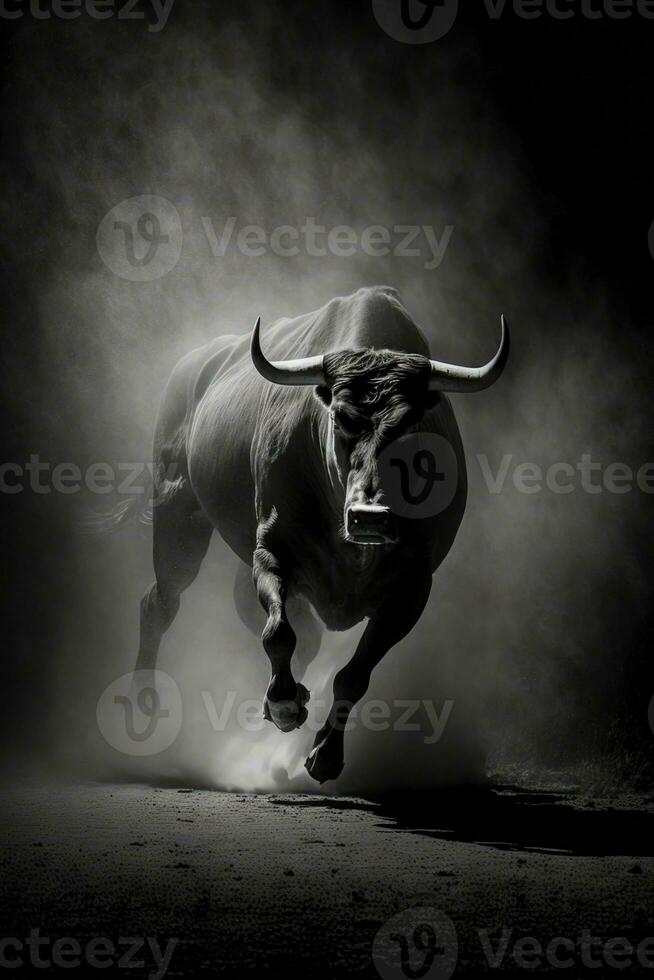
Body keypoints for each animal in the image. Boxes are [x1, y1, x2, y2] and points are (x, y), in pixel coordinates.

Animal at [134, 286, 509, 782]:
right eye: (341, 419)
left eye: (411, 426)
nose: (370, 517)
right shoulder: (271, 552)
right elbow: (278, 633)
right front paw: (284, 704)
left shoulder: (413, 589)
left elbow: (354, 673)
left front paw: (326, 752)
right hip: (179, 514)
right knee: (160, 602)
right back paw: (143, 704)